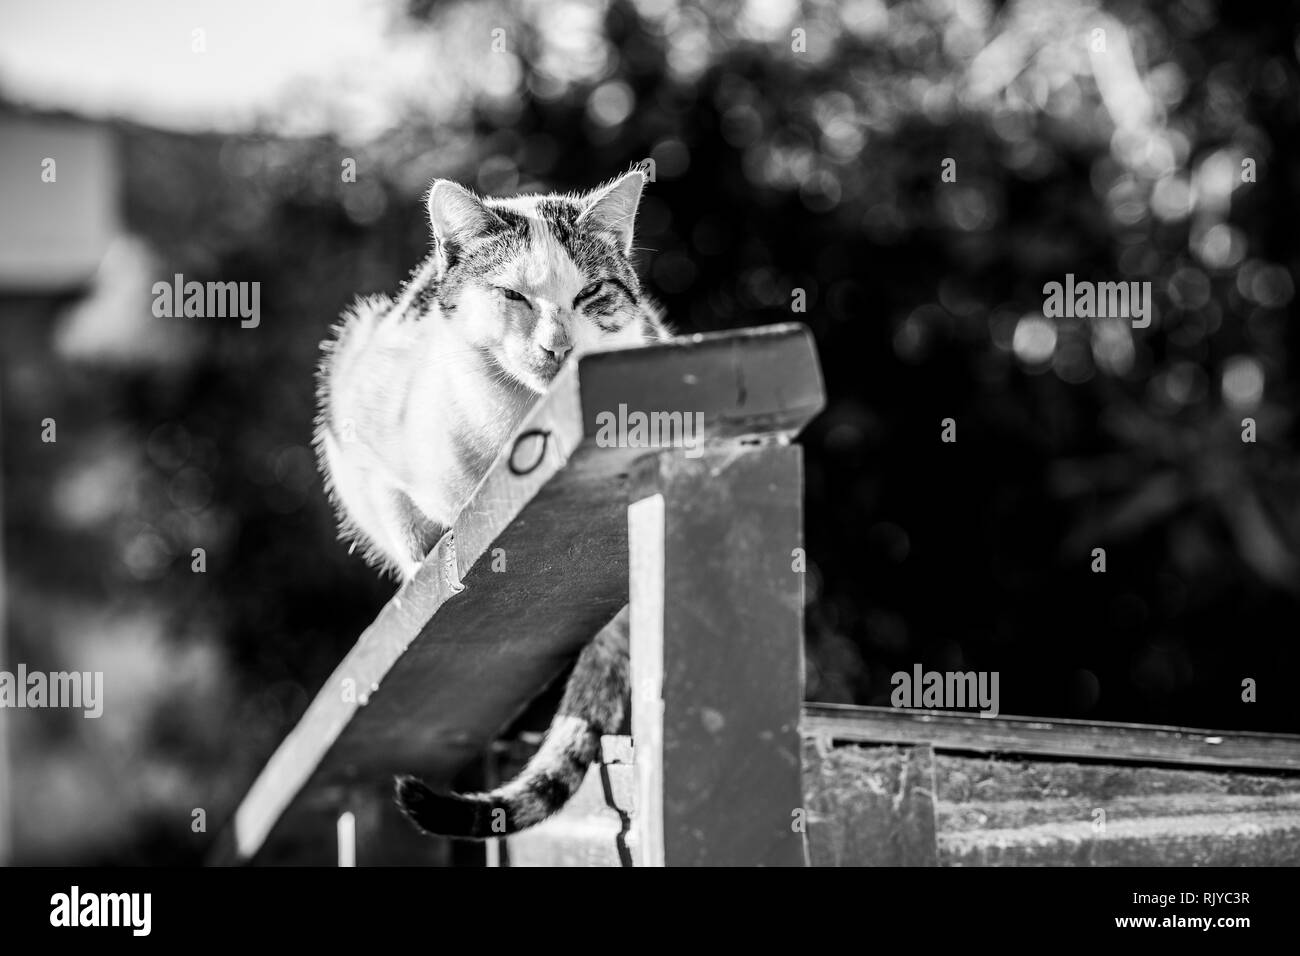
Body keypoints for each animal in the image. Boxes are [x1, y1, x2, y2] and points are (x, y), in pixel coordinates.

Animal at [314, 170, 670, 837]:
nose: (558, 345)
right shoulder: (354, 422)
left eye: (591, 294)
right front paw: (422, 559)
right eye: (513, 296)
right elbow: (397, 514)